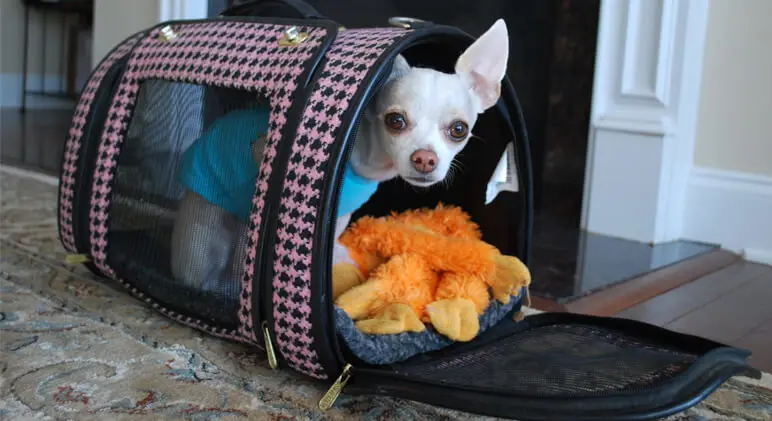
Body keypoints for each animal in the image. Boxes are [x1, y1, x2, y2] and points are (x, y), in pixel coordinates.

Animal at [172, 20, 510, 296]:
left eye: (458, 129)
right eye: (396, 121)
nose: (425, 158)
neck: (370, 155)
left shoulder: (343, 211)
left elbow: (334, 236)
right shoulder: (263, 154)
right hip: (201, 240)